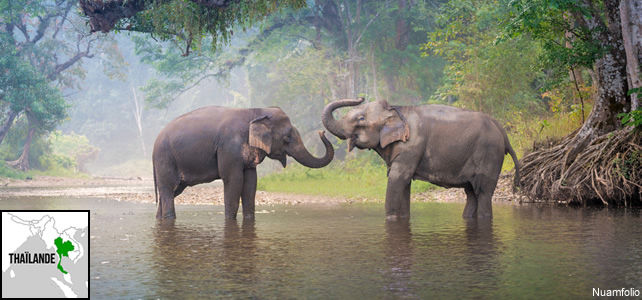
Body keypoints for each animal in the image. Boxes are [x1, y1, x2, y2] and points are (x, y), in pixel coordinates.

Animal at [152, 106, 332, 219]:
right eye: (287, 137)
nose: (322, 131)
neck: (255, 111)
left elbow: (251, 182)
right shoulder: (229, 147)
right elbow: (234, 180)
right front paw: (230, 220)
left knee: (172, 191)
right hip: (165, 159)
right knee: (168, 189)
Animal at [322, 98, 516, 218]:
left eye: (361, 118)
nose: (360, 97)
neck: (396, 109)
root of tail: (503, 132)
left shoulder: (412, 145)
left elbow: (398, 179)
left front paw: (390, 219)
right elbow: (403, 183)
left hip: (490, 154)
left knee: (483, 193)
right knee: (471, 193)